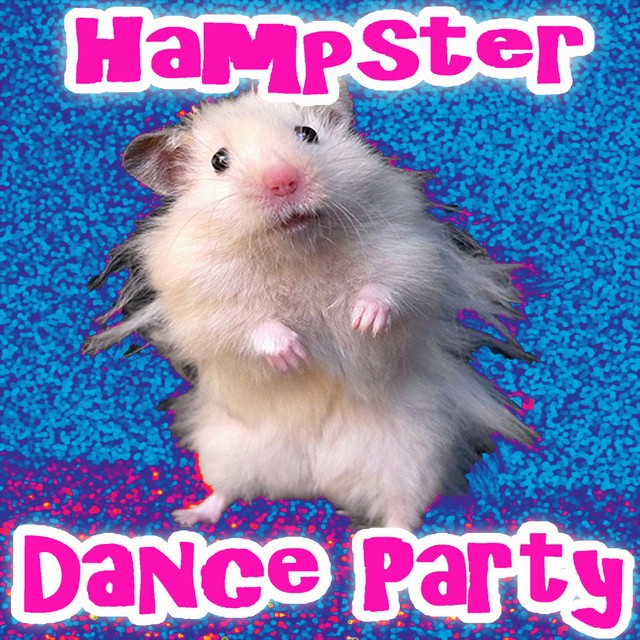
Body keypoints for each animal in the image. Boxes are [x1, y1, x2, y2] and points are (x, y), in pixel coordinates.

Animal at [85, 85, 537, 530]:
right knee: (226, 490)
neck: (296, 250)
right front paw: (293, 354)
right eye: (218, 161)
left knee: (401, 511)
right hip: (226, 449)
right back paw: (189, 514)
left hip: (410, 459)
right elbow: (246, 325)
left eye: (308, 134)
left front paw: (363, 321)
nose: (283, 182)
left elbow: (390, 286)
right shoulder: (200, 302)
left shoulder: (410, 251)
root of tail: (315, 479)